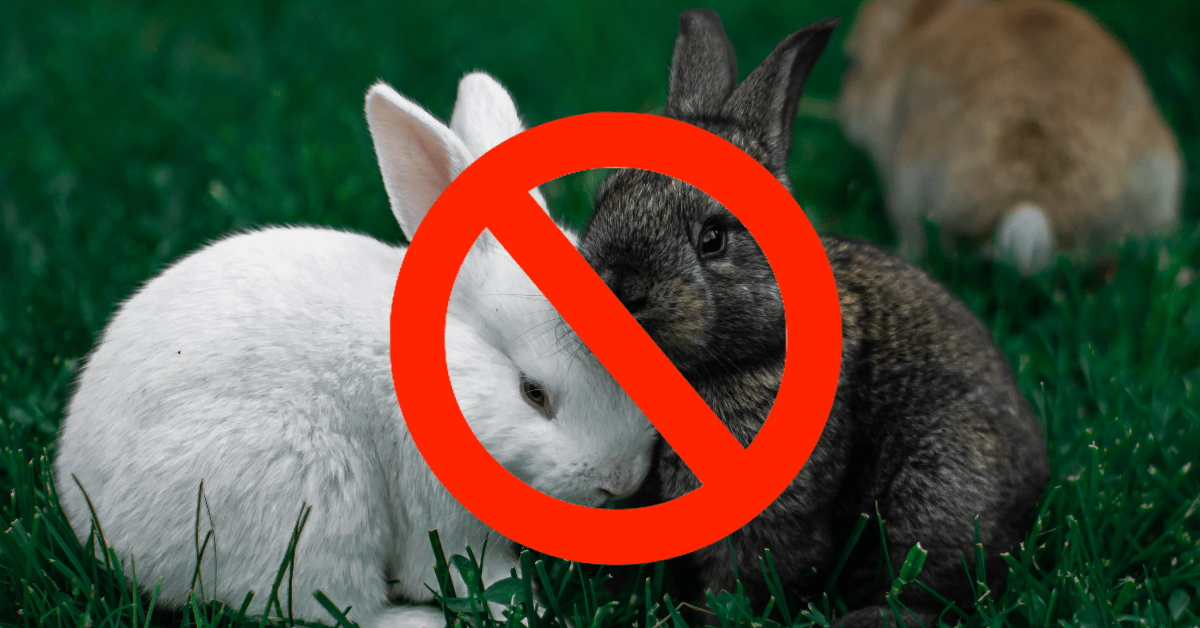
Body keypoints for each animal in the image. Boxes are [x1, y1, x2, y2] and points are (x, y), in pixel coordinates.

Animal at [53, 71, 657, 628]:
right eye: (533, 393)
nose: (621, 480)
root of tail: (87, 507)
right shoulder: (439, 514)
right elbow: (467, 571)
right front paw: (529, 610)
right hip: (312, 506)